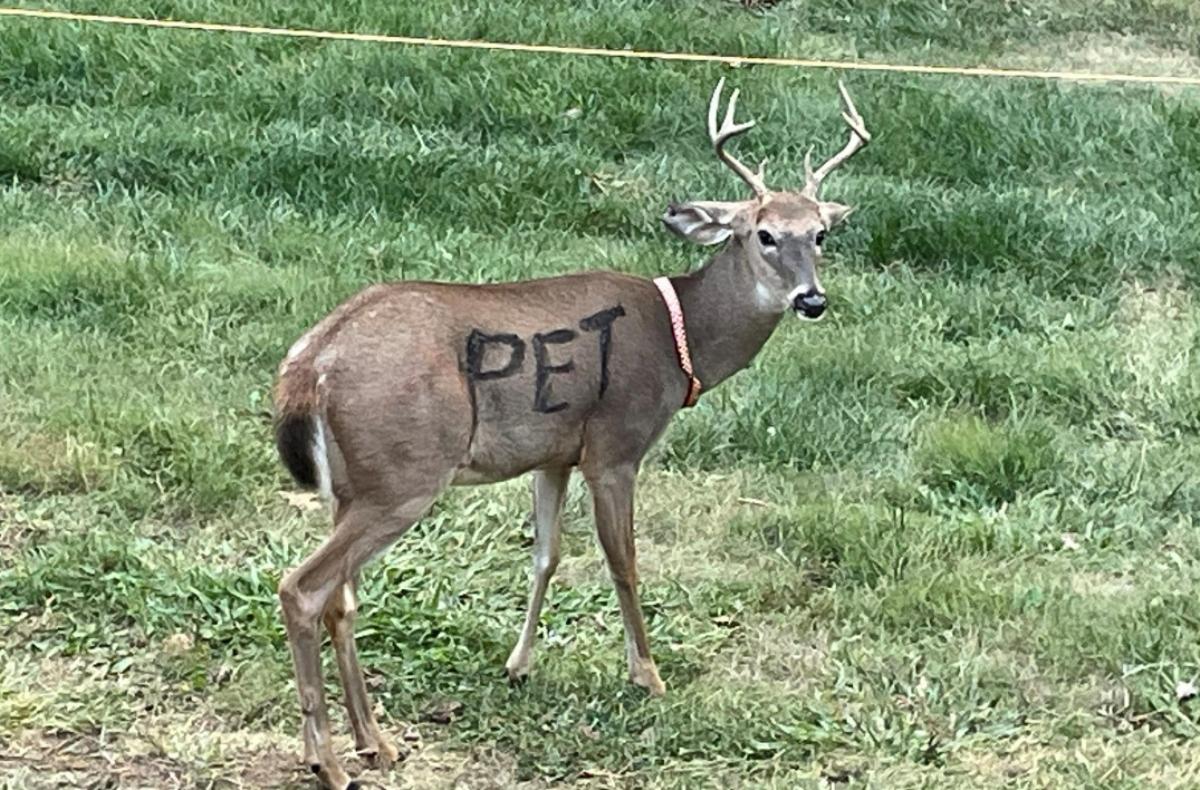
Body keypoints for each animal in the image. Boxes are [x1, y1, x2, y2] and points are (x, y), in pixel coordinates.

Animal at [272, 75, 873, 787]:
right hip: (404, 471)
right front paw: (648, 675)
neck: (682, 341)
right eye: (763, 235)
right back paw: (329, 762)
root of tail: (310, 362)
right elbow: (624, 561)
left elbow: (546, 555)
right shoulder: (616, 444)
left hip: (348, 484)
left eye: (820, 233)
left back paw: (373, 742)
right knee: (304, 587)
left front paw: (519, 664)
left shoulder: (553, 452)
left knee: (341, 597)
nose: (812, 299)